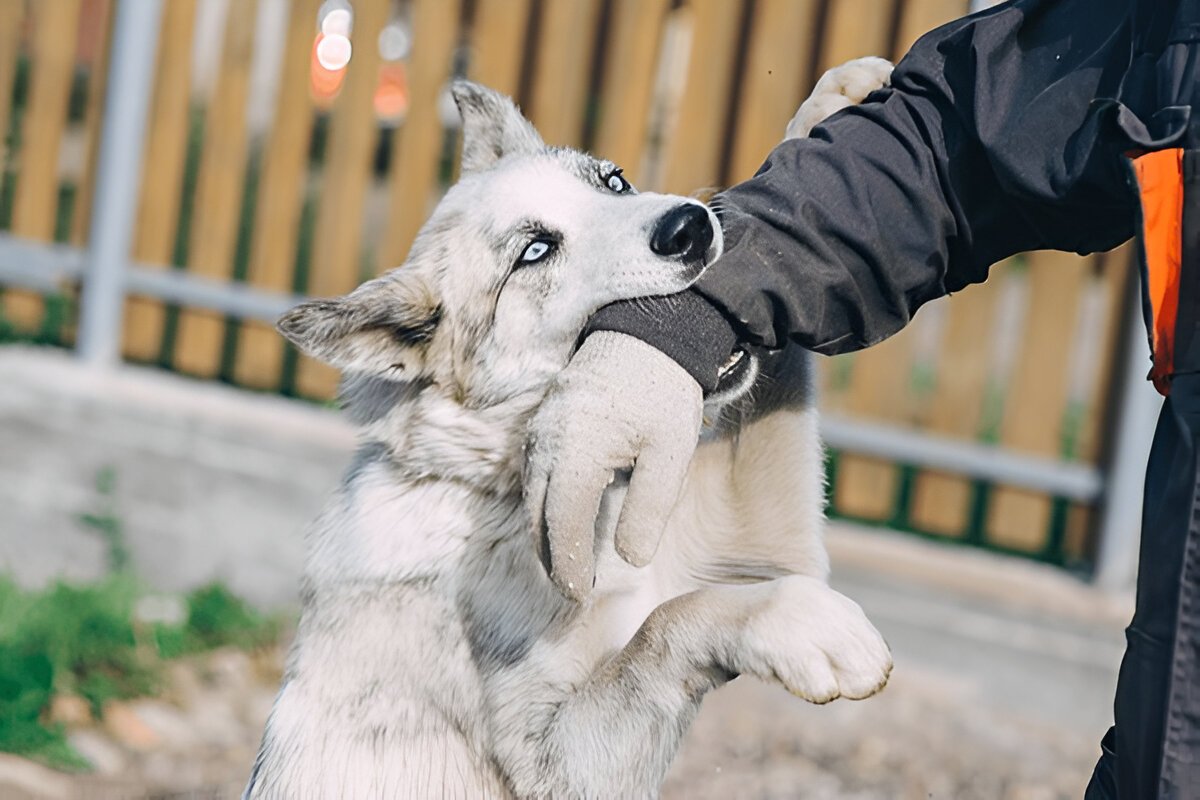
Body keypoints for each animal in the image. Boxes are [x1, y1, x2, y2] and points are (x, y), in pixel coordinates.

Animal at [248, 57, 897, 800]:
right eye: (534, 251)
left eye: (613, 182)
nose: (690, 226)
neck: (504, 490)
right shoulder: (563, 764)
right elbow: (665, 626)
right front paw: (807, 629)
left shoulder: (762, 552)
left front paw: (821, 114)